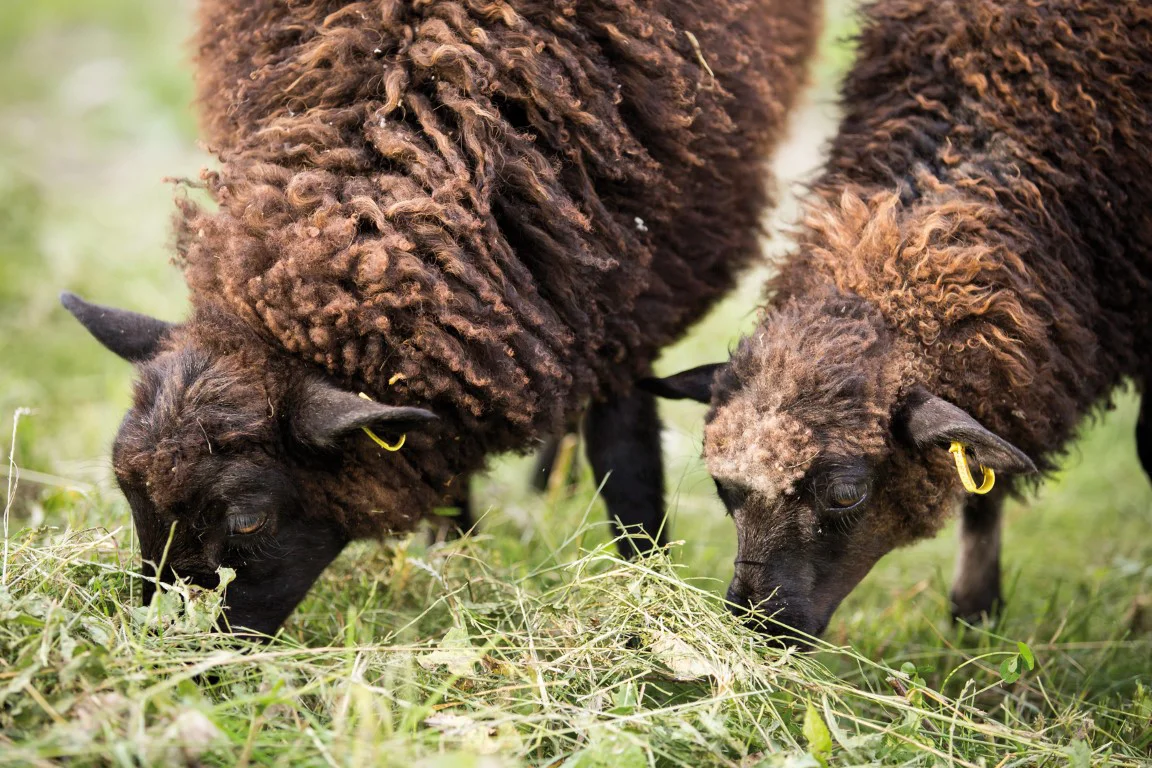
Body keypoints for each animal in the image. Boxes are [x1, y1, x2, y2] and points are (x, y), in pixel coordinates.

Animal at [60, 0, 820, 635]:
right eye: (126, 489)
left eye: (248, 518)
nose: (174, 652)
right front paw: (456, 560)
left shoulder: (630, 293)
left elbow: (628, 462)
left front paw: (648, 588)